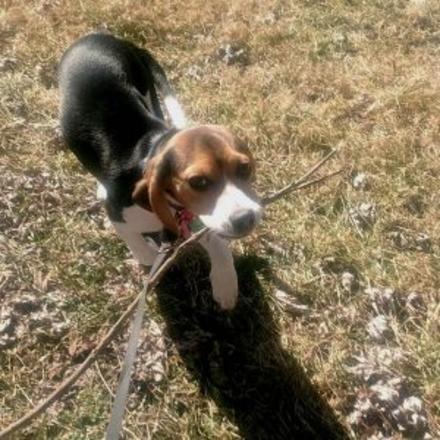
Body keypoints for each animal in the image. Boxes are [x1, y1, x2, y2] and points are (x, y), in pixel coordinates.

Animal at [59, 33, 262, 310]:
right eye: (198, 182)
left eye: (244, 168)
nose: (246, 218)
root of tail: (98, 36)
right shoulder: (119, 217)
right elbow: (142, 251)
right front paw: (152, 257)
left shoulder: (194, 215)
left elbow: (217, 242)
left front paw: (225, 283)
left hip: (147, 90)